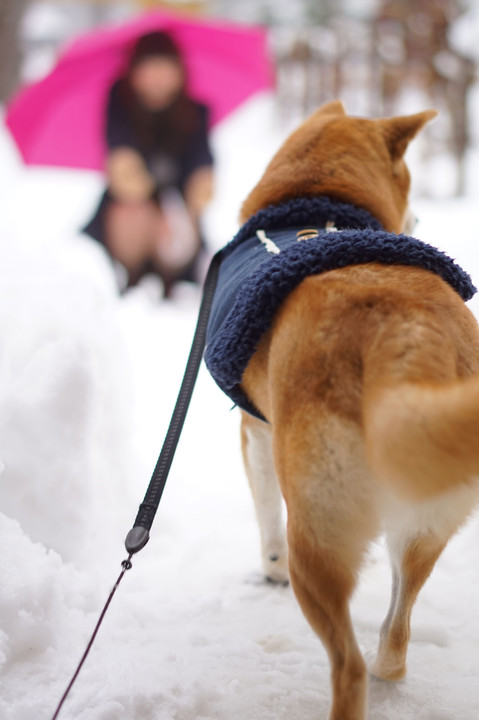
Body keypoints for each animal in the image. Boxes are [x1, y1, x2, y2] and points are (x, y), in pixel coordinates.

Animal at [208, 102, 479, 720]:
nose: (420, 217)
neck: (314, 200)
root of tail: (404, 333)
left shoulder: (256, 430)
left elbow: (265, 512)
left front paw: (268, 570)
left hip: (316, 527)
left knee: (346, 665)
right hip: (427, 516)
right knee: (397, 632)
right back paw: (387, 667)